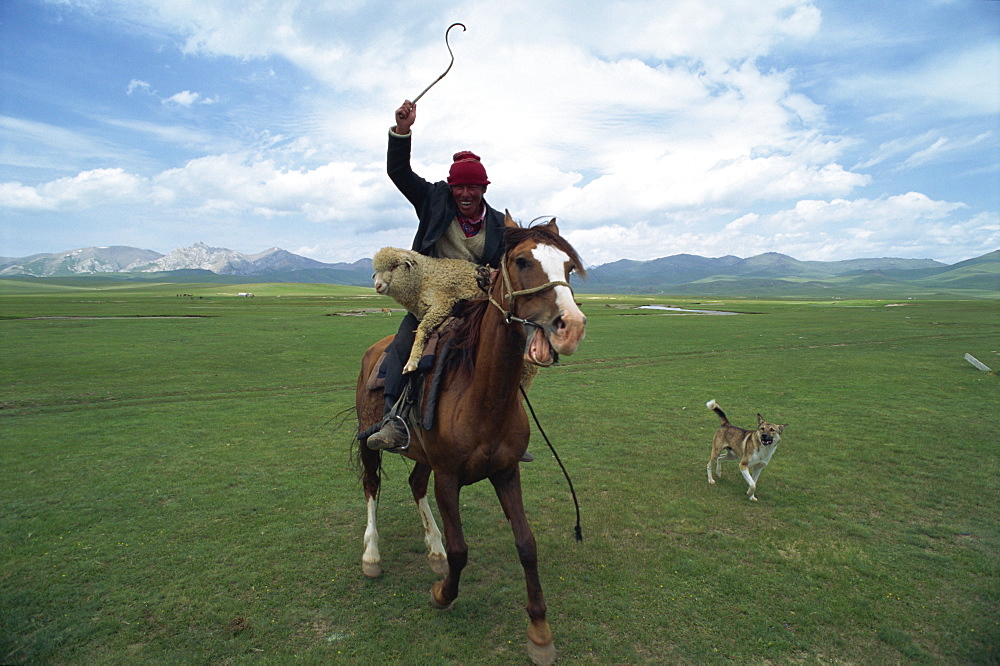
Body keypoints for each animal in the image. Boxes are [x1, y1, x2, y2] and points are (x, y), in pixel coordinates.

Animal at [372, 246, 492, 374]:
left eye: (393, 266)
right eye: (377, 270)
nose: (377, 286)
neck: (423, 277)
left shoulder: (442, 304)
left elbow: (421, 329)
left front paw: (412, 361)